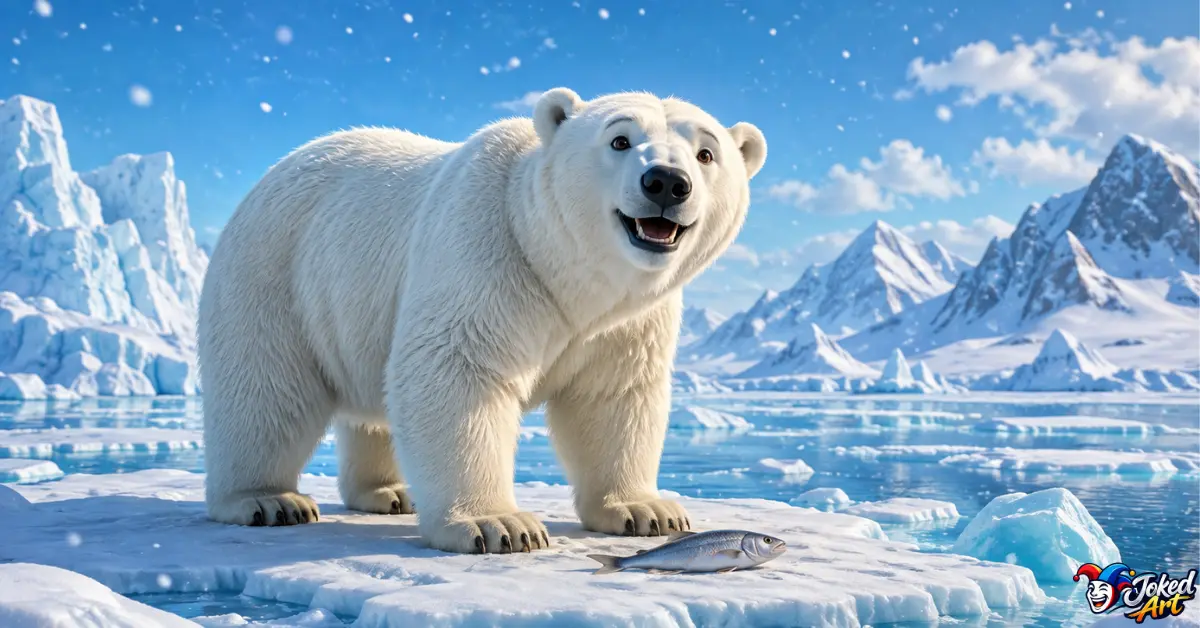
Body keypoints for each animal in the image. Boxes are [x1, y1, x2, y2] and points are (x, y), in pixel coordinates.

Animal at [198, 88, 766, 553]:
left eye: (707, 153)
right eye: (620, 140)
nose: (666, 182)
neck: (566, 273)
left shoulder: (628, 323)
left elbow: (613, 395)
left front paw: (647, 510)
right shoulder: (486, 252)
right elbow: (457, 372)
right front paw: (500, 525)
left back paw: (390, 492)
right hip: (276, 272)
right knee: (265, 390)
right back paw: (268, 500)